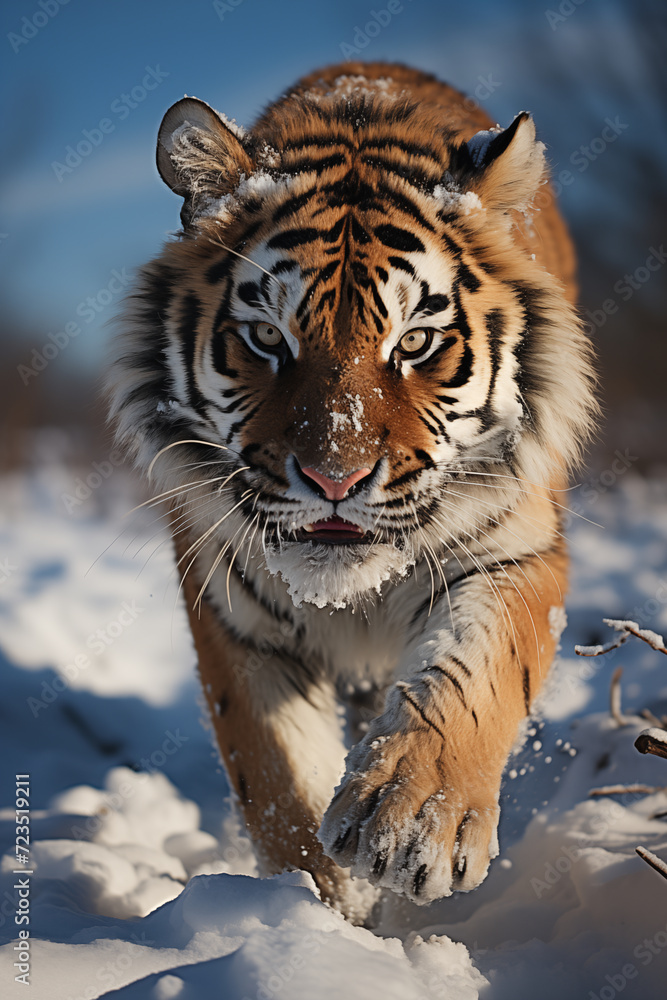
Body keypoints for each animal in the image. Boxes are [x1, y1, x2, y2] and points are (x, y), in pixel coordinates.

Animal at [108, 61, 598, 923]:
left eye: (415, 342)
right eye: (266, 338)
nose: (333, 479)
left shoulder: (515, 549)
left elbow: (475, 671)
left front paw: (410, 827)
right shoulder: (229, 603)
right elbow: (279, 775)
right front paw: (319, 913)